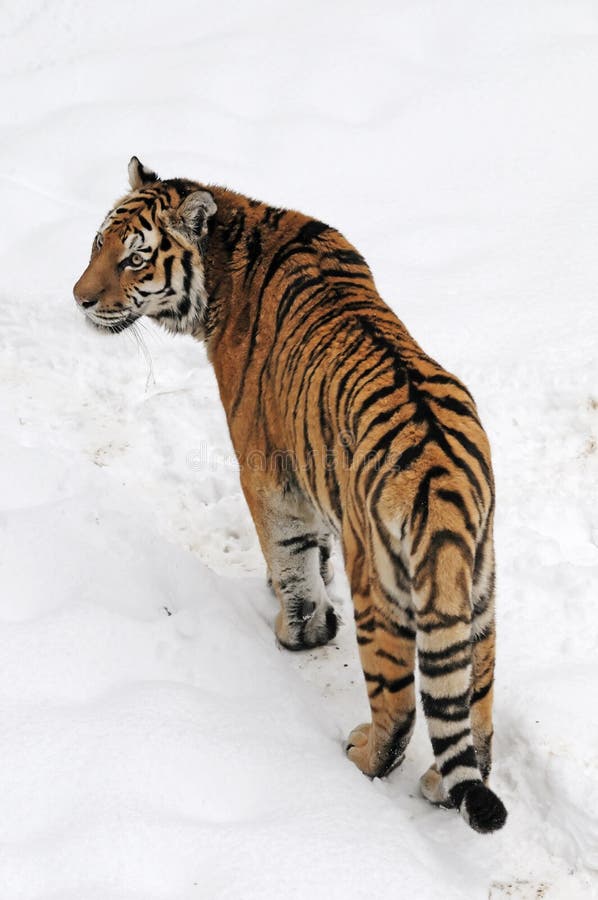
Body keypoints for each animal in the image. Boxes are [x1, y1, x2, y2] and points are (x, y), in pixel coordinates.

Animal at [73, 156, 507, 833]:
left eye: (135, 259)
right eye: (98, 246)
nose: (80, 298)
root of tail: (440, 478)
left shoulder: (265, 470)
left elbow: (290, 555)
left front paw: (299, 629)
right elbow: (310, 555)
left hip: (382, 588)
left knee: (401, 708)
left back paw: (363, 755)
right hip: (477, 588)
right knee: (473, 710)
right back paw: (443, 786)